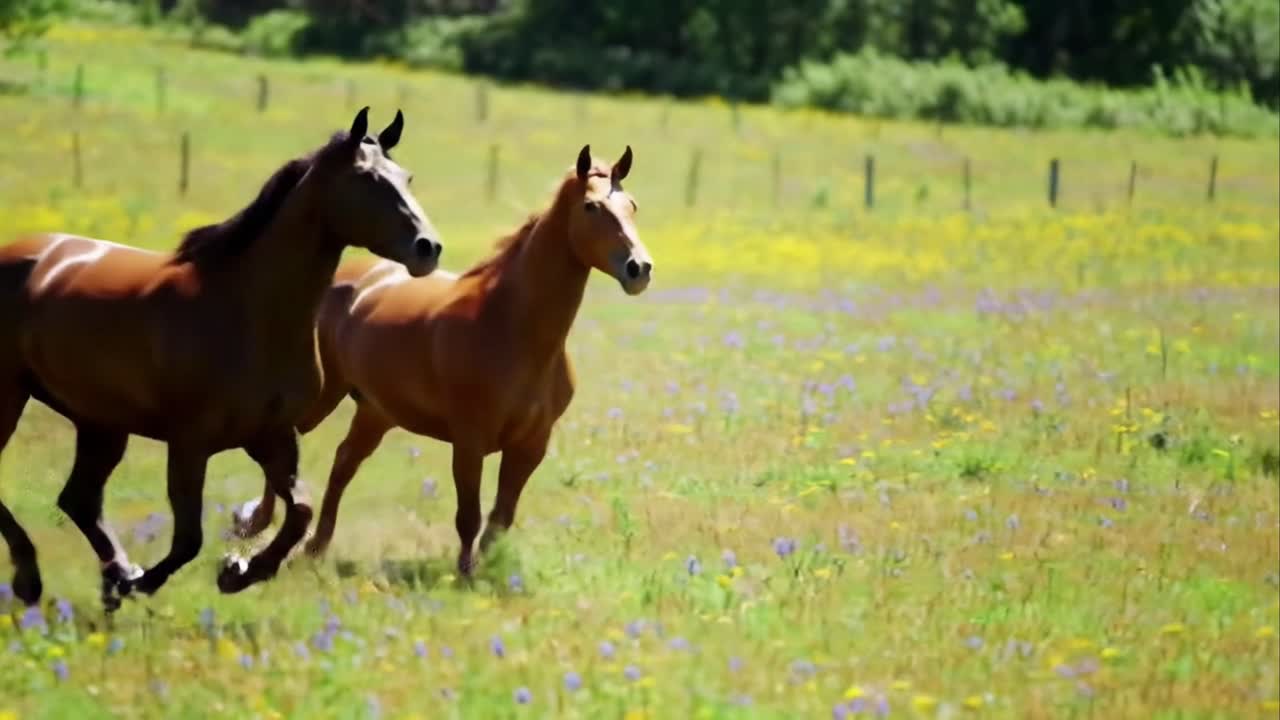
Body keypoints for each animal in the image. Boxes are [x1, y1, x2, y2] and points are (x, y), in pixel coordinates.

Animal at [0, 107, 442, 609]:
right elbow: (188, 538)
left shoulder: (272, 436)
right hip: (11, 397)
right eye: (368, 179)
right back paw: (36, 578)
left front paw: (240, 570)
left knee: (79, 500)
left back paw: (114, 572)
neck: (248, 312)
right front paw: (149, 582)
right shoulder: (190, 443)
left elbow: (300, 510)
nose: (428, 248)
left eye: (406, 177)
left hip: (101, 423)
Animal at [232, 144, 651, 577]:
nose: (639, 269)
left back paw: (314, 547)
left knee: (344, 462)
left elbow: (499, 520)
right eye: (591, 207)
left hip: (377, 411)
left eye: (632, 205)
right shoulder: (469, 440)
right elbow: (469, 515)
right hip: (324, 396)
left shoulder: (531, 445)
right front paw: (464, 574)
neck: (512, 326)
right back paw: (257, 525)